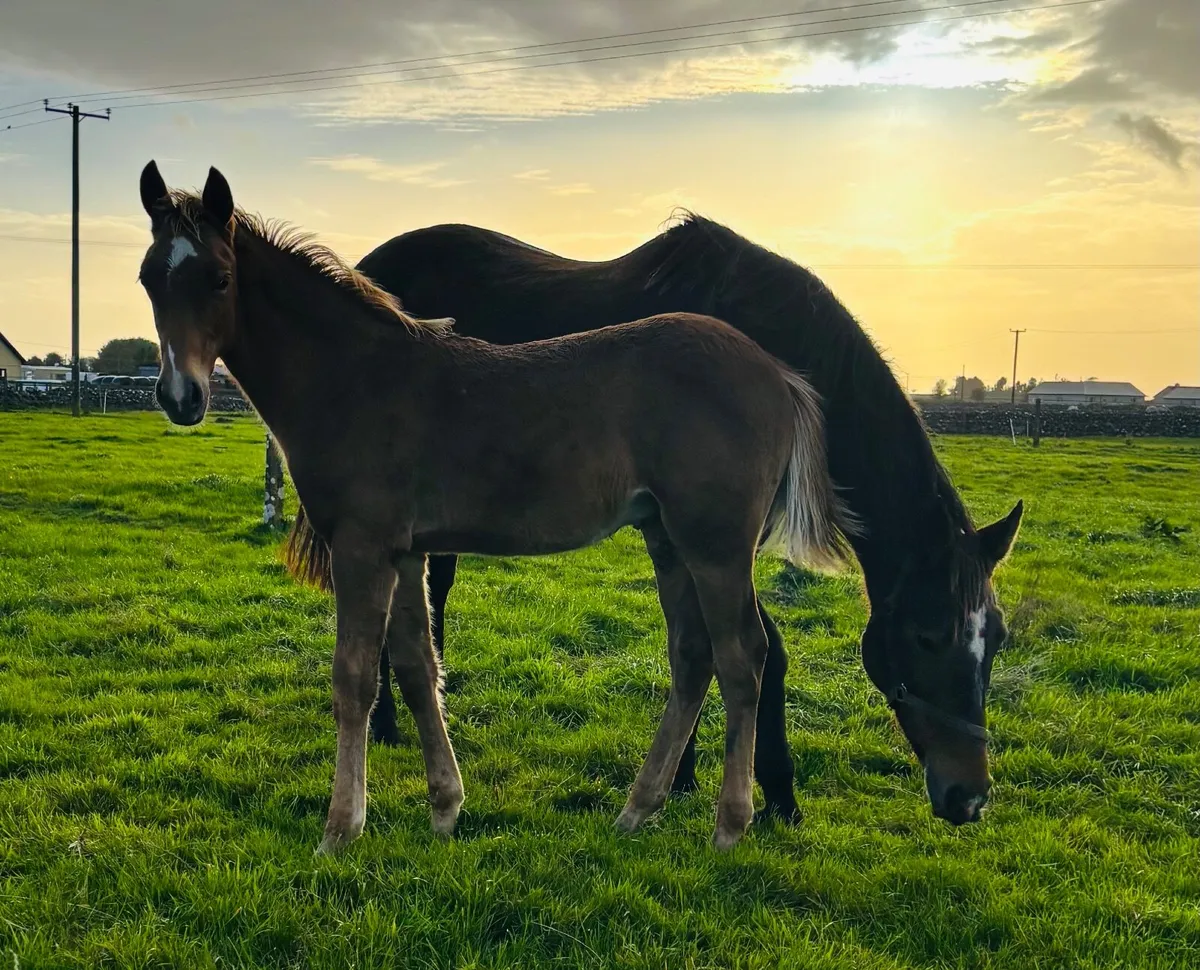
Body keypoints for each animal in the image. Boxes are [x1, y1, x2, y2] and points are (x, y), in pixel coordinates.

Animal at [136, 160, 854, 853]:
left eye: (220, 278)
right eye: (148, 279)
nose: (181, 397)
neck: (357, 376)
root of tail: (780, 375)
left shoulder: (363, 546)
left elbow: (354, 679)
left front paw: (341, 829)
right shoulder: (407, 550)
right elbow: (418, 669)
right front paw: (445, 809)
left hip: (716, 546)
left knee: (741, 658)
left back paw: (730, 826)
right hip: (668, 539)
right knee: (693, 655)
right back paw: (637, 809)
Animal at [294, 214, 1025, 829]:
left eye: (998, 639)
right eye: (928, 636)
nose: (969, 797)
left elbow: (706, 644)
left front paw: (685, 776)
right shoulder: (714, 536)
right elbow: (758, 650)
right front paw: (772, 791)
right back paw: (388, 723)